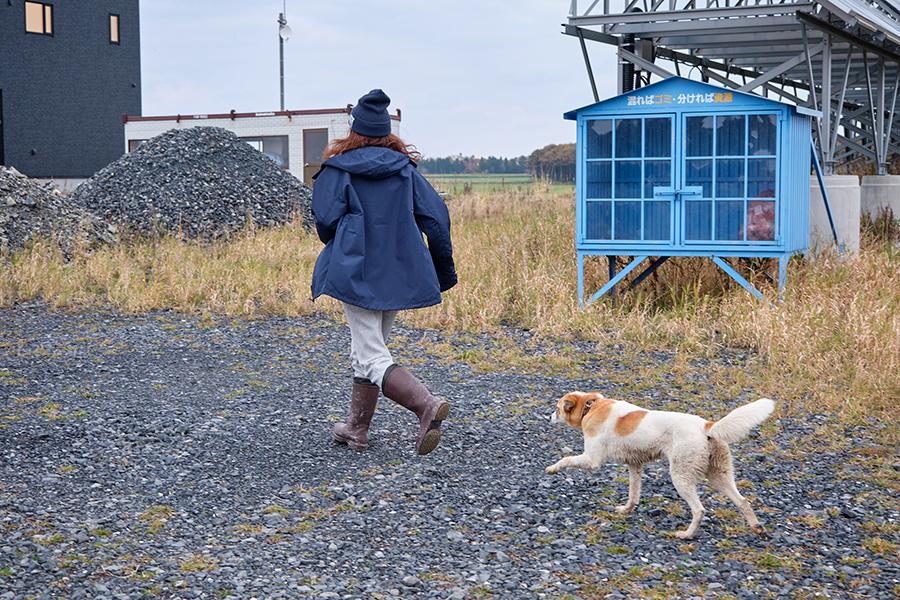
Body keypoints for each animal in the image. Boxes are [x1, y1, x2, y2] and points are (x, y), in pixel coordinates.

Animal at [544, 394, 776, 540]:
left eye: (557, 408)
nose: (548, 417)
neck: (591, 405)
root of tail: (706, 426)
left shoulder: (592, 459)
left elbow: (566, 459)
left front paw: (552, 468)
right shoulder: (635, 466)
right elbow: (633, 493)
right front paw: (627, 509)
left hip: (681, 476)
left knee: (699, 510)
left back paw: (686, 535)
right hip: (719, 476)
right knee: (743, 502)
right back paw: (758, 529)